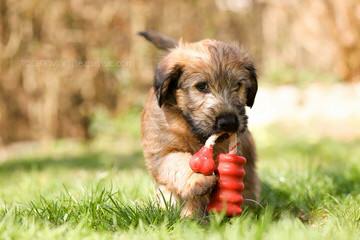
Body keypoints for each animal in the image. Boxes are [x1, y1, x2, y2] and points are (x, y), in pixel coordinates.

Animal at [138, 30, 258, 218]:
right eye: (202, 86)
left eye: (238, 85)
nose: (229, 122)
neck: (192, 130)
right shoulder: (161, 152)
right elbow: (178, 161)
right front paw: (197, 181)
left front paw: (192, 215)